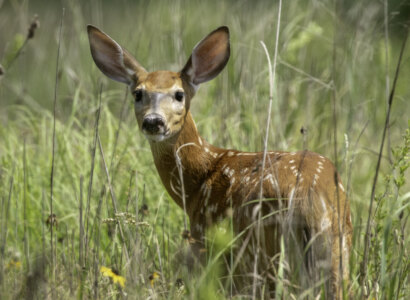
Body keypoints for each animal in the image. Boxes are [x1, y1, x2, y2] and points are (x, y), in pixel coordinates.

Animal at [87, 24, 352, 298]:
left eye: (179, 94)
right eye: (138, 93)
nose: (153, 121)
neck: (199, 180)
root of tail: (311, 203)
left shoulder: (206, 243)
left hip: (264, 256)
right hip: (338, 254)